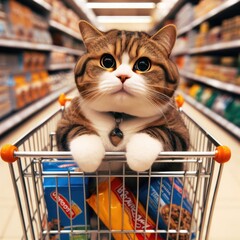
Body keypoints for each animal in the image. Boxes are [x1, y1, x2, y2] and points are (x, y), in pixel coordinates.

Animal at [56, 19, 189, 172]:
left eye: (143, 65)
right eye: (107, 61)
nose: (123, 76)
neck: (119, 116)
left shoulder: (180, 131)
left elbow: (163, 133)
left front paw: (139, 154)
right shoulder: (65, 122)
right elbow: (75, 130)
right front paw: (88, 157)